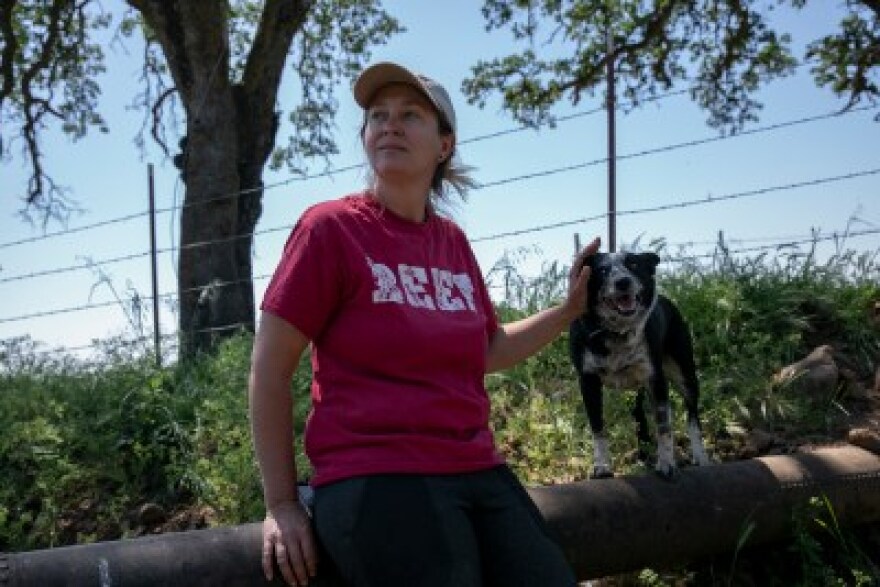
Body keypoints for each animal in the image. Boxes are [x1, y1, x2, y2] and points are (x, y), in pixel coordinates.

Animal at [568, 250, 712, 480]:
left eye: (634, 265)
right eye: (602, 270)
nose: (623, 282)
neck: (616, 333)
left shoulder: (656, 379)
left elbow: (663, 426)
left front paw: (666, 463)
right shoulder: (588, 382)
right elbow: (597, 428)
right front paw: (602, 467)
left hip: (685, 375)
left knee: (693, 417)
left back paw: (700, 456)